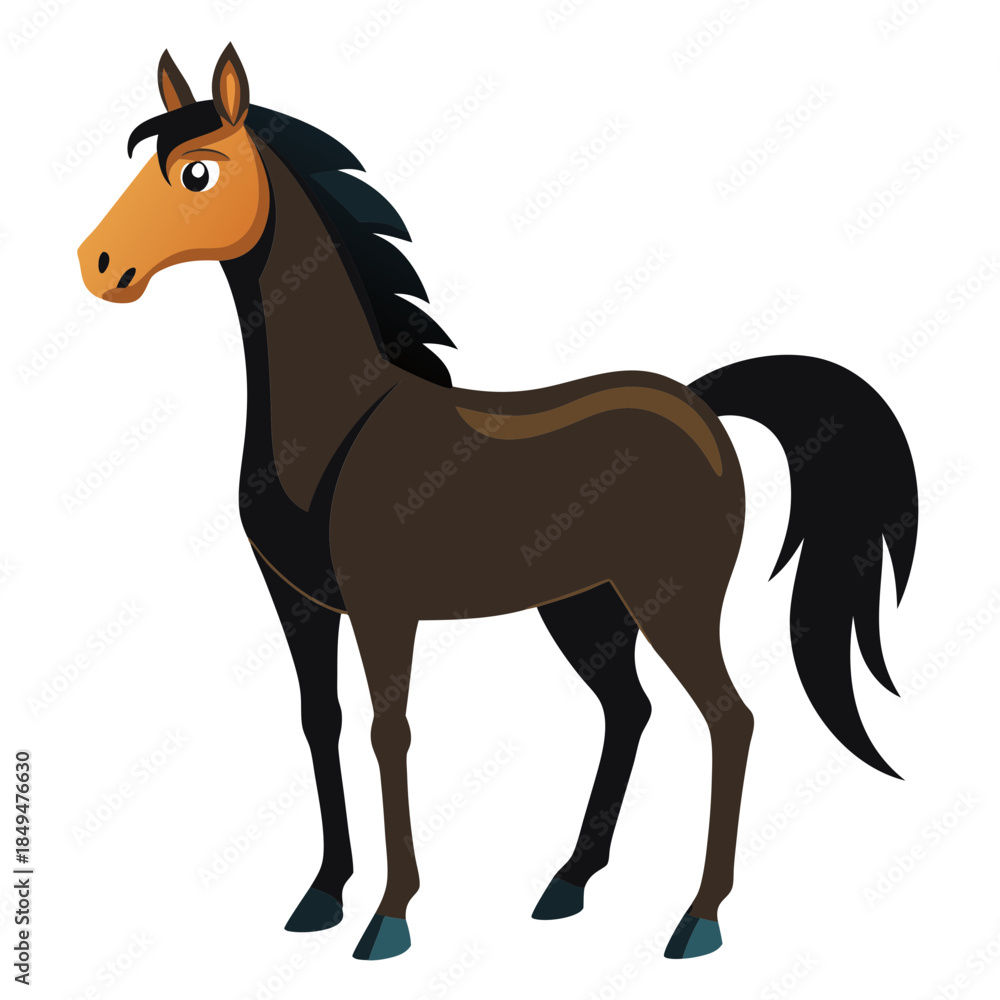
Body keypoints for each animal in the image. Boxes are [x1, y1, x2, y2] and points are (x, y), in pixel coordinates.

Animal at [78, 44, 919, 961]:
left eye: (197, 171)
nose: (99, 267)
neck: (340, 423)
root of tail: (698, 402)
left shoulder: (382, 609)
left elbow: (389, 732)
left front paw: (390, 917)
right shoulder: (298, 603)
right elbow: (319, 722)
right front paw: (323, 895)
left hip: (672, 601)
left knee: (729, 721)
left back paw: (698, 919)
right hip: (585, 606)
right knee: (630, 710)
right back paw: (569, 884)